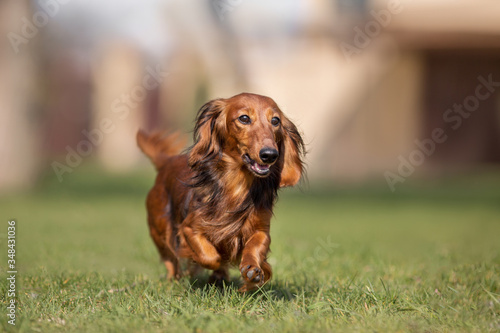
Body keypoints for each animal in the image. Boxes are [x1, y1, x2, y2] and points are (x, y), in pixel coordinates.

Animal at [139, 92, 306, 290]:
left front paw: (253, 271)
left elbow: (255, 247)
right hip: (160, 230)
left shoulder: (261, 229)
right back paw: (175, 281)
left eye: (275, 121)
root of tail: (166, 162)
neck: (237, 185)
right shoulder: (188, 228)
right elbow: (211, 257)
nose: (270, 154)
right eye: (244, 118)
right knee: (170, 260)